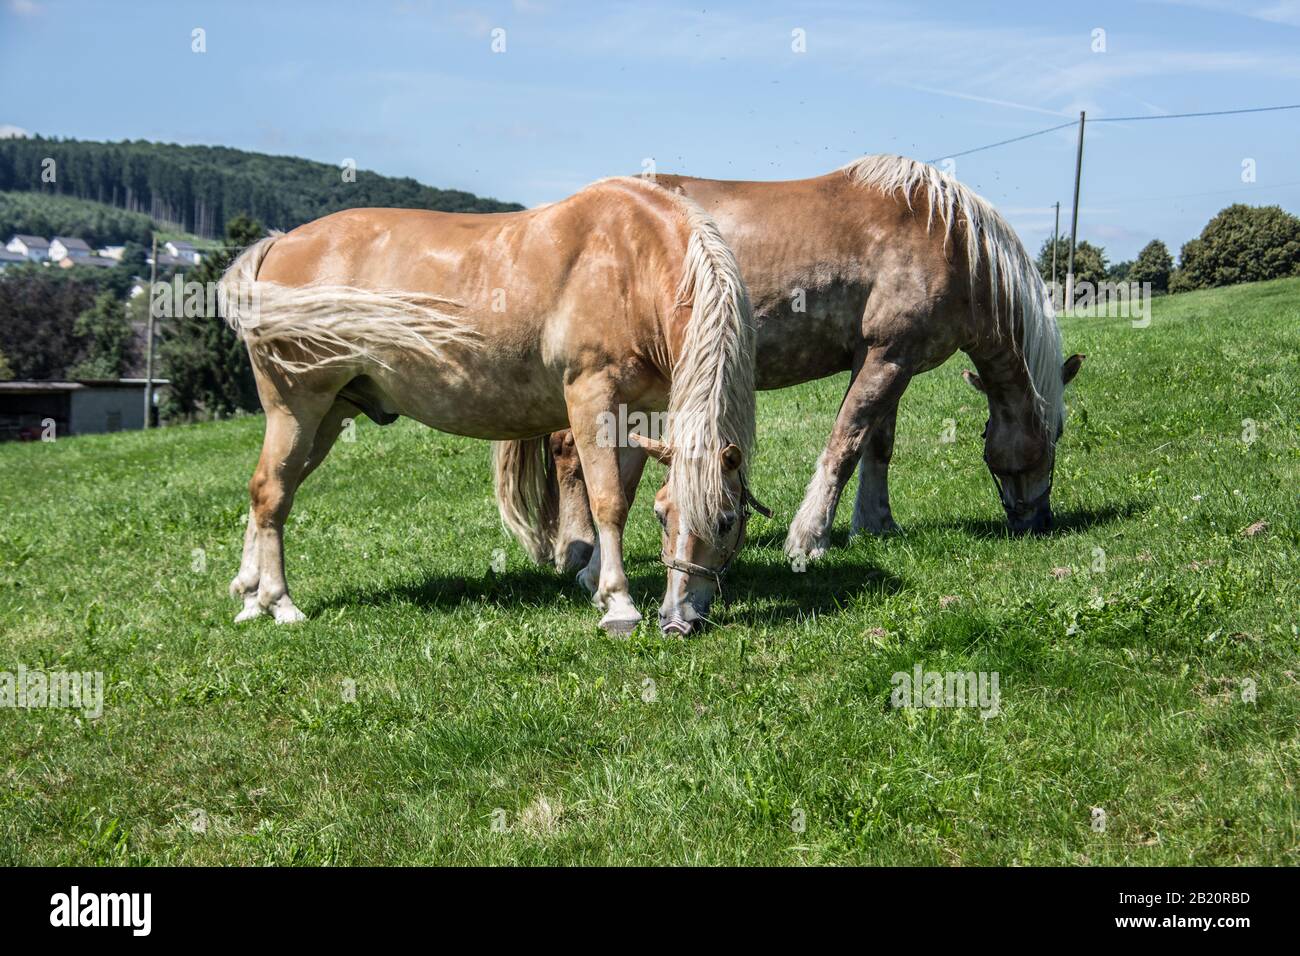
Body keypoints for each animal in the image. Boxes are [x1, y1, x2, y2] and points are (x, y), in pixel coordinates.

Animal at [219, 176, 760, 636]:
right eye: (664, 518)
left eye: (726, 521)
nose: (679, 619)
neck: (631, 261)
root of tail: (276, 245)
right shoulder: (592, 399)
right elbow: (607, 500)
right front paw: (619, 604)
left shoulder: (639, 412)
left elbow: (620, 493)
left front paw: (594, 583)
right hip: (296, 409)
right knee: (271, 492)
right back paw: (280, 602)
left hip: (330, 415)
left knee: (270, 492)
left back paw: (251, 597)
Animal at [518, 155, 1085, 575]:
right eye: (1053, 435)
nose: (1039, 521)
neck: (948, 239)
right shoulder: (886, 356)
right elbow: (846, 445)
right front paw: (809, 538)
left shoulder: (892, 360)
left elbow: (878, 446)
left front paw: (876, 524)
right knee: (570, 452)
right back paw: (577, 550)